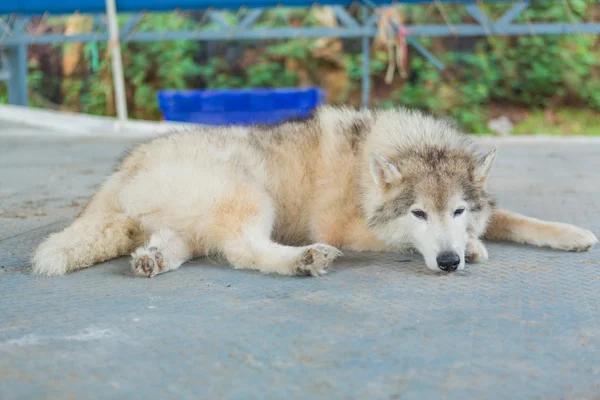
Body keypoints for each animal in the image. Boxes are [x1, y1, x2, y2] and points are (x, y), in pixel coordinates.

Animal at [31, 105, 596, 278]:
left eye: (457, 209)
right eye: (417, 214)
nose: (449, 263)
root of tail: (125, 165)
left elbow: (514, 218)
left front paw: (571, 234)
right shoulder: (342, 226)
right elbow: (398, 240)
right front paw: (474, 247)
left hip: (191, 225)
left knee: (175, 247)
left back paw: (149, 261)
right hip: (252, 195)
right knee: (243, 252)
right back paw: (303, 260)